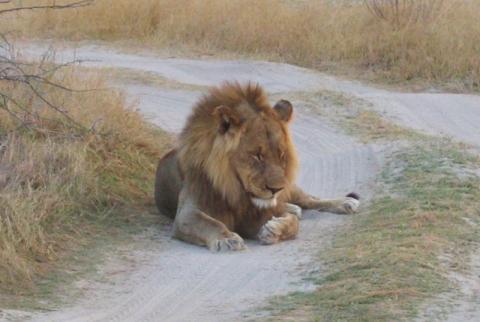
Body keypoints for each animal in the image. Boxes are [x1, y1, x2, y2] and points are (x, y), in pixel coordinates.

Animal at [155, 81, 360, 252]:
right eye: (257, 155)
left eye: (281, 154)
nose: (276, 189)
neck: (236, 190)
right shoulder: (187, 213)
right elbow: (209, 223)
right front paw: (228, 239)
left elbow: (293, 223)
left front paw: (274, 229)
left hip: (291, 187)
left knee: (310, 199)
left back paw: (345, 202)